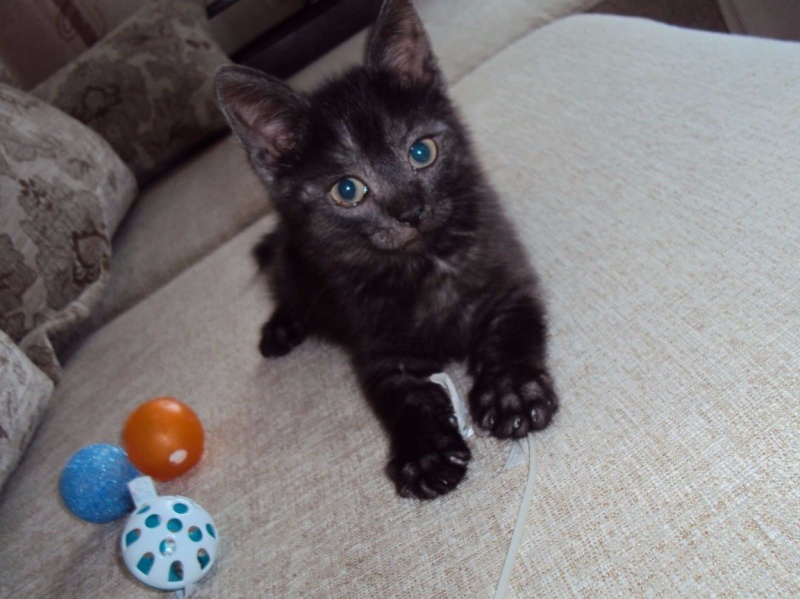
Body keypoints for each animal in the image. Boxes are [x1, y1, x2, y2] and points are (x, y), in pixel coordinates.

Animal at [215, 0, 558, 500]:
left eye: (421, 152)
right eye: (348, 190)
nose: (411, 211)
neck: (422, 265)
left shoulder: (506, 276)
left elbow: (512, 329)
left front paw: (510, 390)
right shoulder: (377, 345)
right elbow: (399, 397)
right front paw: (426, 453)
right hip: (296, 262)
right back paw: (281, 328)